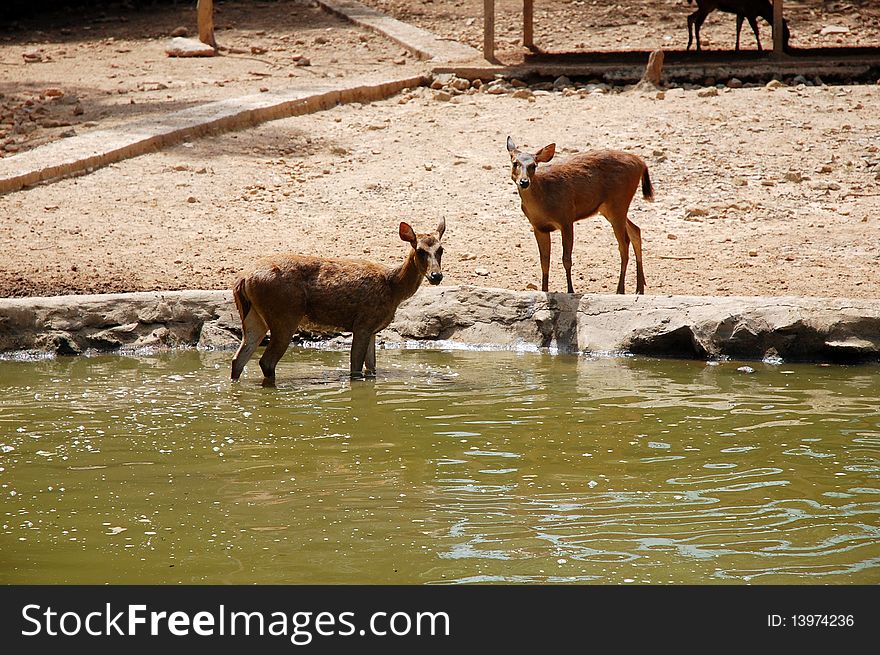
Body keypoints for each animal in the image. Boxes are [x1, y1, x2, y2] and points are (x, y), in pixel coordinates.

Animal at [230, 220, 444, 386]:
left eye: (441, 249)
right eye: (420, 250)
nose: (436, 276)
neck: (394, 289)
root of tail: (243, 279)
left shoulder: (373, 329)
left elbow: (372, 369)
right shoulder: (363, 324)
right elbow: (356, 370)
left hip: (254, 318)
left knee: (238, 359)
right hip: (284, 315)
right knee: (266, 362)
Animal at [508, 137, 652, 296]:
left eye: (534, 165)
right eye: (515, 163)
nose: (524, 182)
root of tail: (641, 162)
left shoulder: (566, 218)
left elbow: (566, 259)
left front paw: (570, 291)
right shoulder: (538, 227)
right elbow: (544, 261)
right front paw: (544, 291)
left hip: (618, 202)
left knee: (624, 244)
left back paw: (620, 290)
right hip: (609, 208)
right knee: (635, 231)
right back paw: (639, 288)